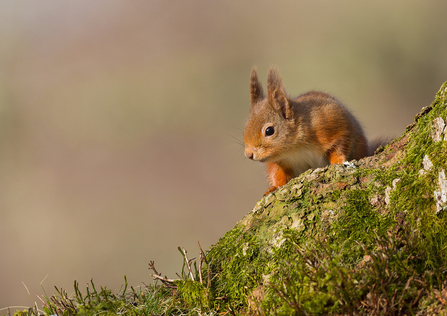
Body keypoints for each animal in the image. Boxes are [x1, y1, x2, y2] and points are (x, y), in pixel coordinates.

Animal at [245, 67, 378, 195]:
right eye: (245, 128)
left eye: (269, 131)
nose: (248, 154)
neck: (295, 148)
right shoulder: (278, 162)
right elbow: (278, 173)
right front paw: (274, 187)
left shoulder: (333, 124)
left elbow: (341, 143)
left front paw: (338, 161)